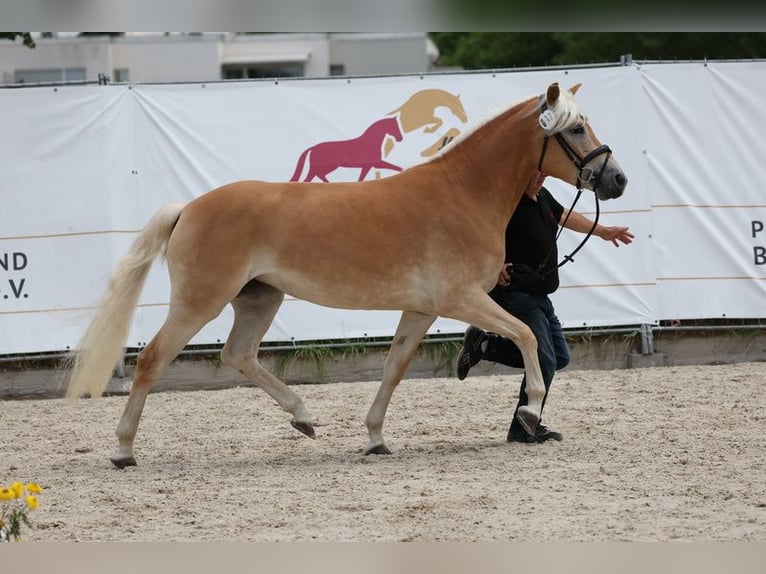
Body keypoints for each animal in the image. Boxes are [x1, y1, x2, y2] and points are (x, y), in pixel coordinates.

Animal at [67, 82, 628, 468]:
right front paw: (531, 411)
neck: (463, 191)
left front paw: (376, 438)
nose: (617, 179)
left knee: (238, 354)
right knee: (153, 359)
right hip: (199, 301)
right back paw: (123, 451)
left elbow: (394, 369)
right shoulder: (461, 299)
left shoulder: (421, 309)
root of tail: (189, 208)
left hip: (259, 299)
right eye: (575, 129)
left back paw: (303, 417)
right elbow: (528, 335)